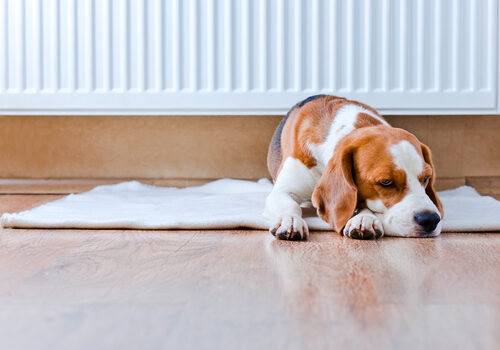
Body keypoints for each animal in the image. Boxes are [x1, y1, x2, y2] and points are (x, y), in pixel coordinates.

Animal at [264, 95, 444, 241]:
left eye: (426, 178)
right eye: (386, 182)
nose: (430, 219)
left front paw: (364, 219)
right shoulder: (282, 190)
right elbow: (290, 205)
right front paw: (290, 220)